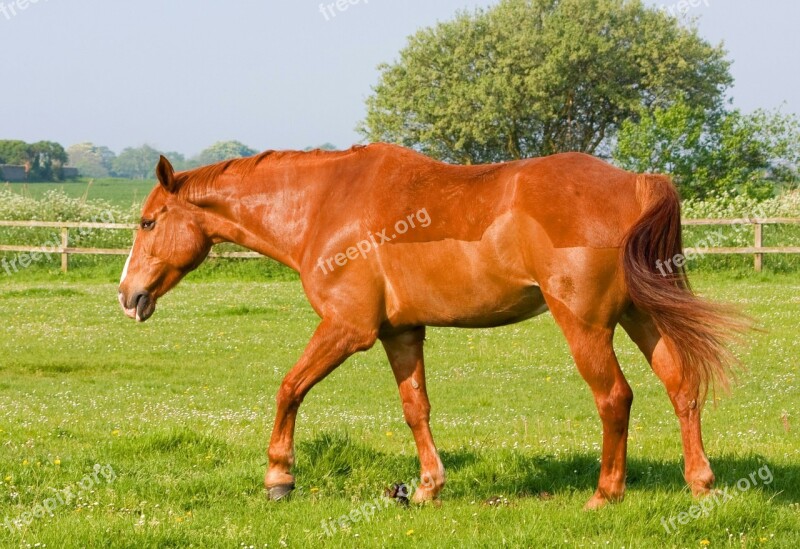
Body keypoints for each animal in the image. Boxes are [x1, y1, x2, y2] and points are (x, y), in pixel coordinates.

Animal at [119, 143, 744, 508]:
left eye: (149, 223)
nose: (128, 296)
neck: (325, 203)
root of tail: (634, 182)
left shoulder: (346, 329)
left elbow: (289, 388)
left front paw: (279, 477)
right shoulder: (401, 334)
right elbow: (415, 409)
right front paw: (426, 487)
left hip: (586, 326)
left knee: (615, 397)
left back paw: (605, 494)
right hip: (643, 316)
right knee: (681, 387)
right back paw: (700, 483)